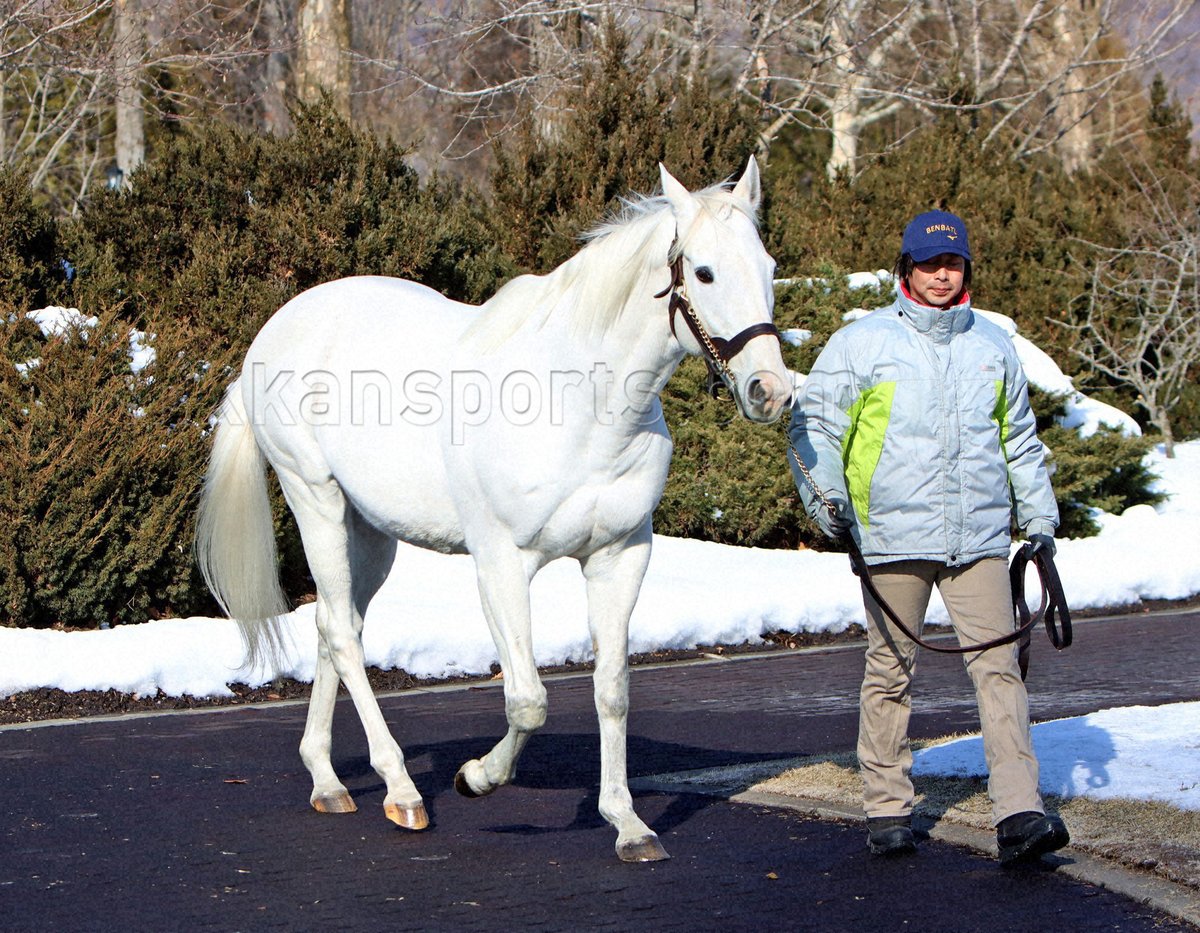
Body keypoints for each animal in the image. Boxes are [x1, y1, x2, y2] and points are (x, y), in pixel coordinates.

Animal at [194, 158, 796, 858]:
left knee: (333, 625)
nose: (770, 390)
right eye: (702, 272)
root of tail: (273, 333)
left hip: (369, 532)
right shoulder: (503, 564)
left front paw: (627, 823)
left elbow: (613, 690)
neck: (576, 402)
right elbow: (528, 699)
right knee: (342, 633)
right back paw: (402, 790)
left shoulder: (620, 557)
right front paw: (477, 778)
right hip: (313, 498)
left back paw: (327, 781)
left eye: (768, 267)